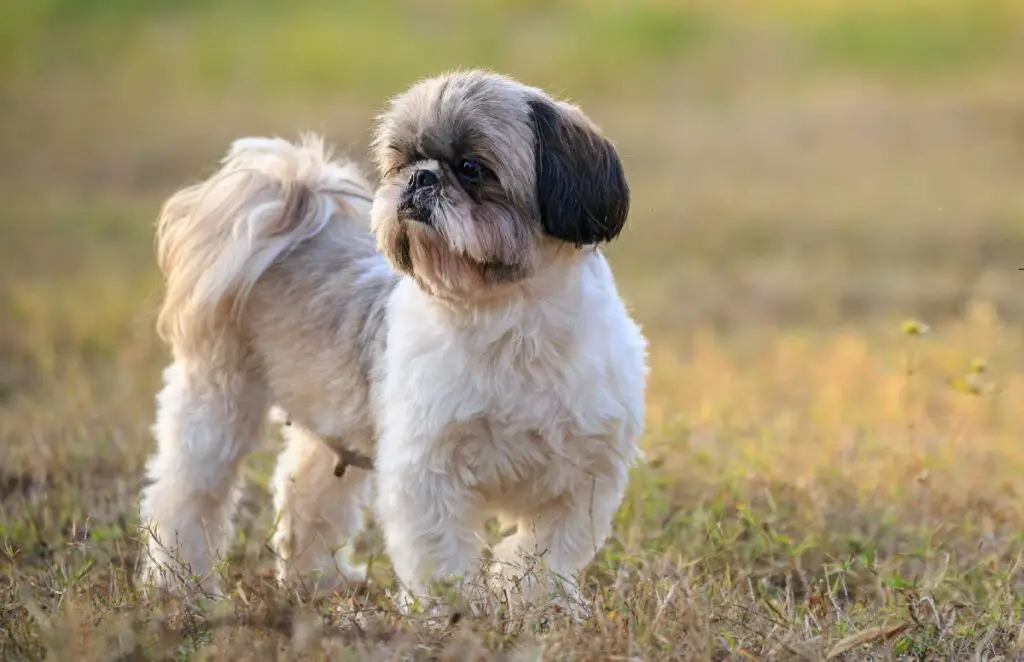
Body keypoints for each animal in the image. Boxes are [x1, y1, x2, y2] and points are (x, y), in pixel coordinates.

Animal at [137, 67, 647, 610]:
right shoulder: (426, 472)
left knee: (306, 494)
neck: (513, 322)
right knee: (187, 496)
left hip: (329, 424)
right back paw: (179, 585)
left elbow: (546, 552)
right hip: (218, 405)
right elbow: (439, 554)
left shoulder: (583, 476)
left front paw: (539, 606)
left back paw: (318, 580)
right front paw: (451, 611)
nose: (420, 177)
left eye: (471, 168)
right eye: (400, 163)